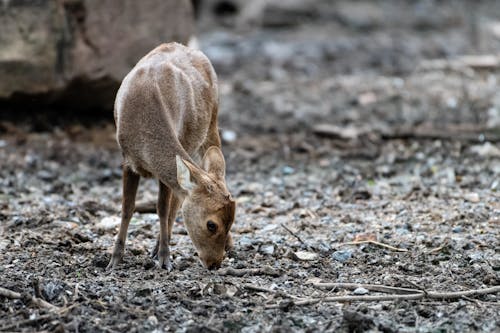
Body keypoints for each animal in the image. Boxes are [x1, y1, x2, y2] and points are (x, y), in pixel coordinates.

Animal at [106, 42, 235, 270]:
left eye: (231, 222)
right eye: (212, 225)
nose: (215, 263)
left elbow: (163, 209)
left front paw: (165, 258)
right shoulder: (127, 160)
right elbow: (127, 208)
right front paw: (114, 259)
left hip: (212, 122)